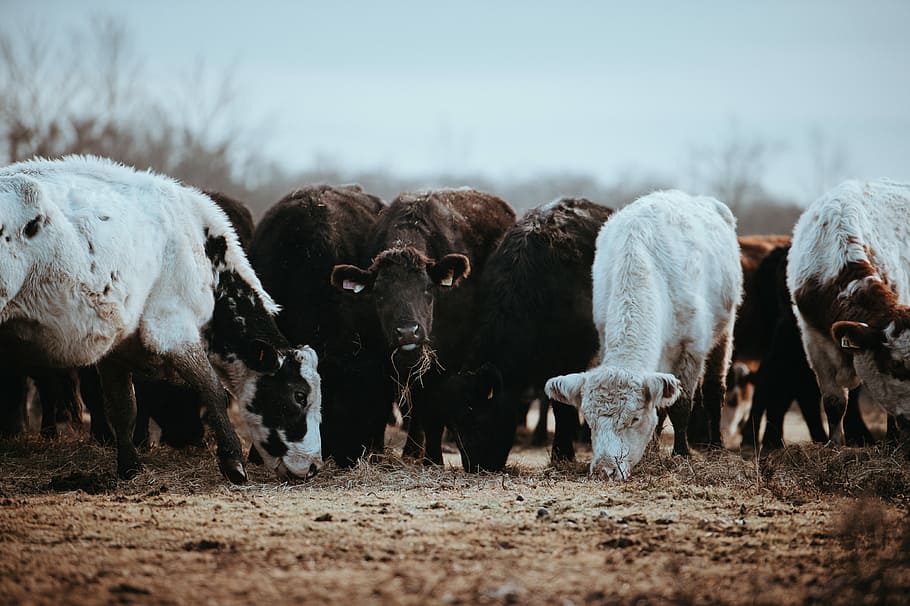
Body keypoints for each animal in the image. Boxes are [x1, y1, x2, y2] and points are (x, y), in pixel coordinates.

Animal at [0, 155, 322, 482]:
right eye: (299, 395)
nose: (313, 466)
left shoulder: (117, 349)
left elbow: (122, 407)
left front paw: (129, 466)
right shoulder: (173, 329)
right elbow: (213, 391)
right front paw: (233, 462)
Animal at [330, 189, 516, 464]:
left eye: (427, 289)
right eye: (379, 294)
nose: (408, 333)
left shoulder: (446, 359)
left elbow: (432, 410)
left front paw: (433, 459)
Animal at [437, 197, 613, 471]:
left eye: (477, 418)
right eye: (453, 427)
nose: (476, 465)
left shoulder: (569, 359)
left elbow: (561, 406)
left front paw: (562, 454)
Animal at [545, 190, 743, 480]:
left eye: (634, 418)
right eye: (590, 421)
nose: (605, 470)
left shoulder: (691, 350)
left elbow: (681, 405)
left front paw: (681, 454)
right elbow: (660, 406)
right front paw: (651, 451)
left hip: (725, 332)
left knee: (714, 389)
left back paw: (716, 446)